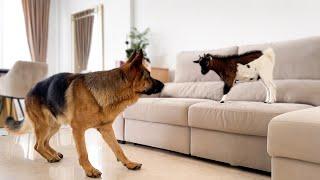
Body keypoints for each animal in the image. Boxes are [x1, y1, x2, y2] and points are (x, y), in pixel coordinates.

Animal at [5, 50, 162, 178]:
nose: (163, 85)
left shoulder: (106, 129)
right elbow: (84, 153)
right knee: (37, 145)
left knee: (44, 142)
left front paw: (129, 163)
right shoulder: (78, 130)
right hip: (44, 125)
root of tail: (29, 91)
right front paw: (90, 170)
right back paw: (51, 157)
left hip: (54, 125)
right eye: (148, 76)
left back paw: (54, 154)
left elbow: (118, 149)